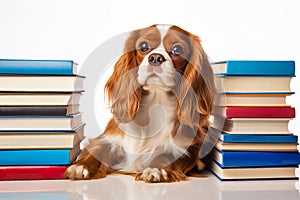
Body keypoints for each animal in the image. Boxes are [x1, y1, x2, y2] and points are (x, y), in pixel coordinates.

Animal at [65, 24, 216, 183]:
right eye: (144, 47)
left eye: (177, 50)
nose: (156, 57)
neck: (155, 103)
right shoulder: (110, 139)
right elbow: (97, 150)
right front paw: (81, 166)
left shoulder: (187, 150)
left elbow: (167, 156)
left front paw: (156, 169)